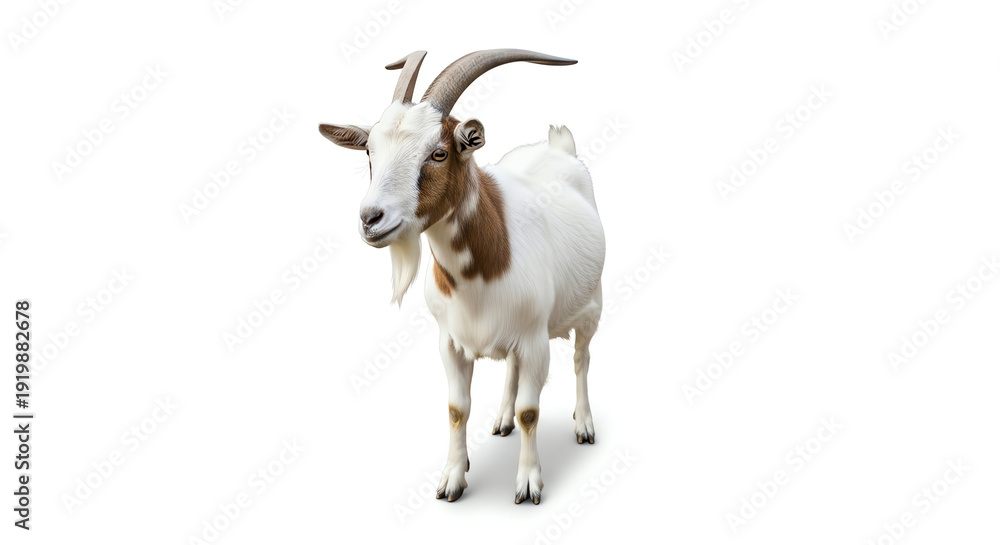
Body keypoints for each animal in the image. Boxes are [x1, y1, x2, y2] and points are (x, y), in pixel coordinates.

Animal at [319, 49, 606, 505]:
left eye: (438, 153)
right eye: (368, 153)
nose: (370, 219)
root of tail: (558, 145)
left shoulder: (535, 340)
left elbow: (531, 411)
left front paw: (529, 483)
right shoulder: (450, 341)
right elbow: (457, 409)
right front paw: (452, 478)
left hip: (592, 306)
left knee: (582, 359)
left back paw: (584, 425)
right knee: (512, 370)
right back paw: (502, 419)